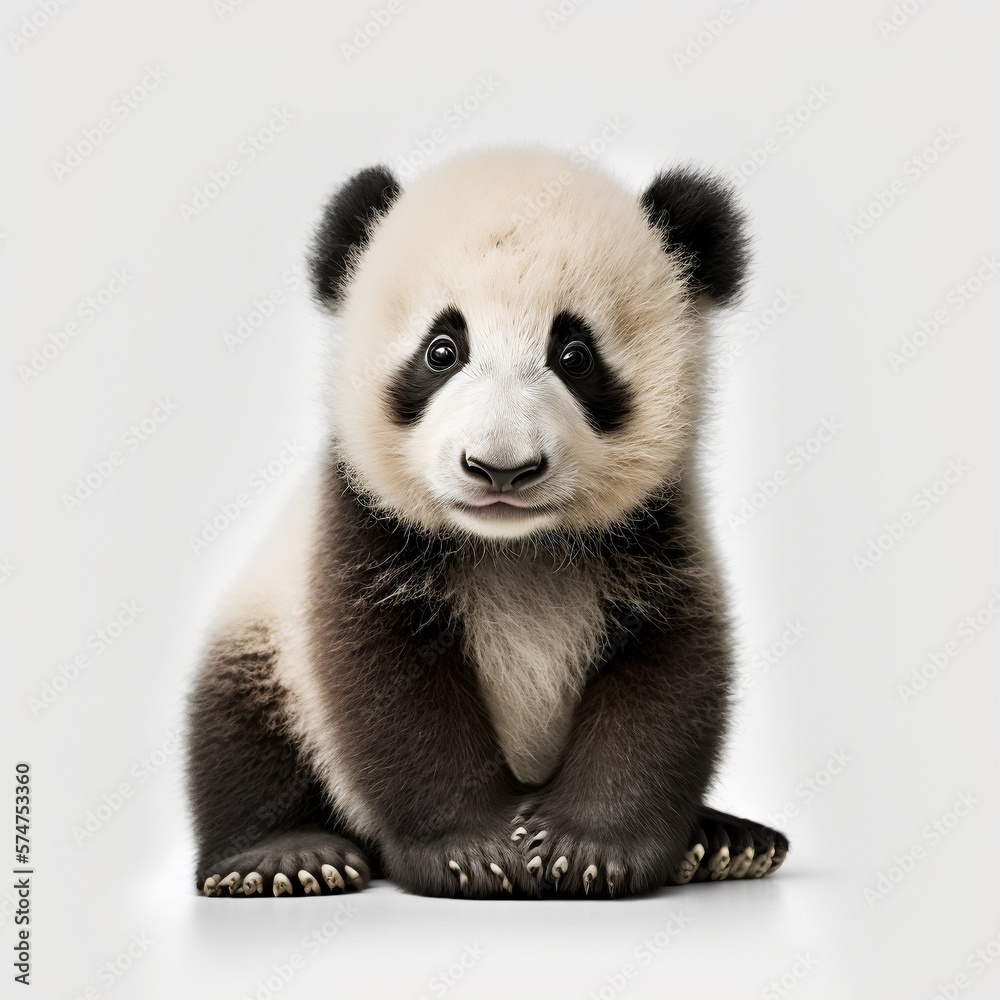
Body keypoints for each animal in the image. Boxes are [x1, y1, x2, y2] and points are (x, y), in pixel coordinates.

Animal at [188, 148, 789, 900]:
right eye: (442, 350)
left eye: (575, 355)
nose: (501, 469)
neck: (514, 546)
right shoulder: (364, 528)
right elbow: (390, 690)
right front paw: (474, 852)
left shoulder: (658, 532)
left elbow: (666, 680)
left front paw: (588, 850)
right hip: (264, 635)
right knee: (240, 737)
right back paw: (282, 856)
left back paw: (726, 842)